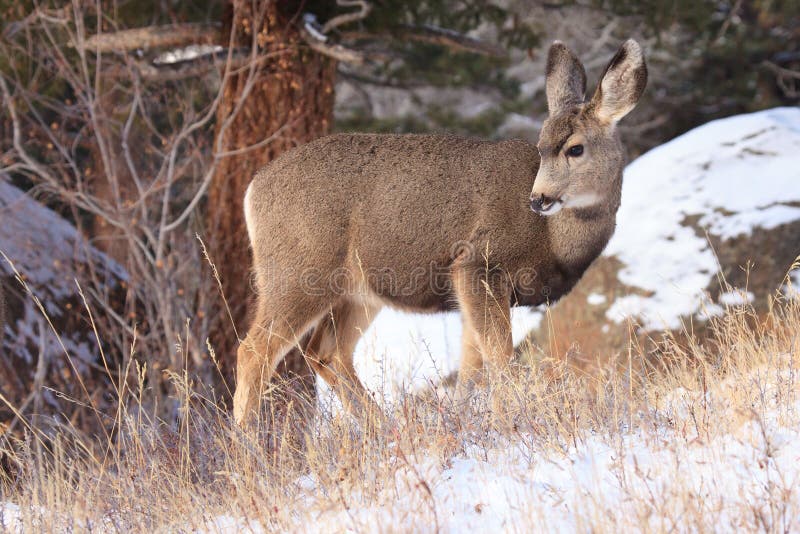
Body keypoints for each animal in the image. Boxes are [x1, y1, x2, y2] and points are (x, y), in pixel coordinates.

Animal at [234, 38, 648, 428]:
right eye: (542, 147)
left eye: (575, 148)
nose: (539, 198)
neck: (553, 240)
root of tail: (252, 189)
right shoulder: (477, 263)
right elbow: (499, 356)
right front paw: (511, 421)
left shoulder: (476, 287)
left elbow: (471, 365)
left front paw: (470, 423)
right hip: (298, 272)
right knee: (254, 351)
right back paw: (246, 442)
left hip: (358, 290)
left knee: (325, 352)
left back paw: (384, 429)